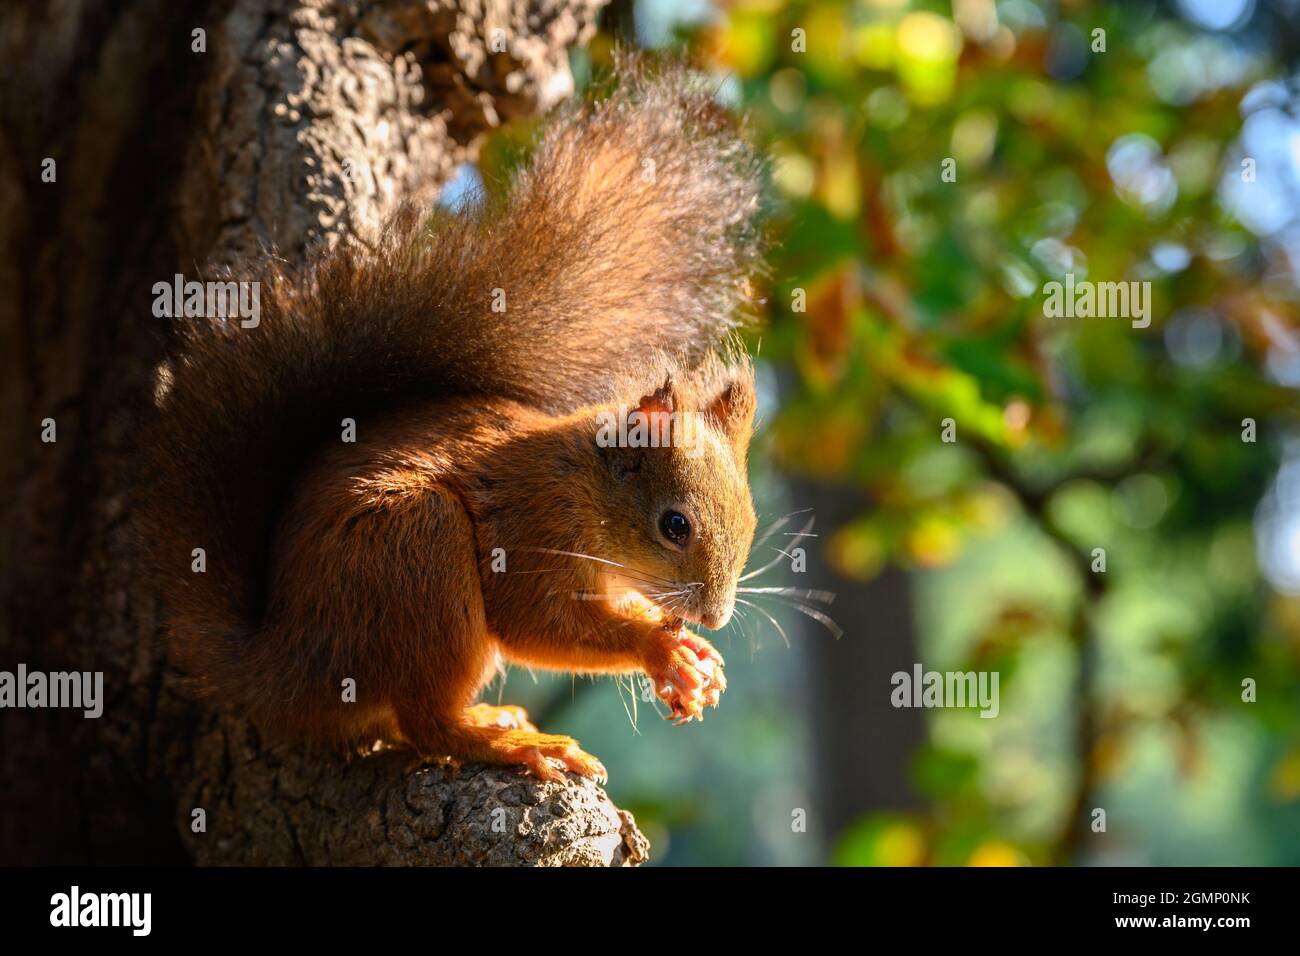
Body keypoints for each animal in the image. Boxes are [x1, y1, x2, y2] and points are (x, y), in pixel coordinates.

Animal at [137, 57, 765, 783]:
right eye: (674, 526)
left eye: (752, 523)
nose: (715, 617)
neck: (584, 482)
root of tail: (283, 668)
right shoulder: (531, 528)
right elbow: (537, 622)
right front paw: (660, 650)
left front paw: (695, 658)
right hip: (414, 550)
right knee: (425, 721)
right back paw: (510, 741)